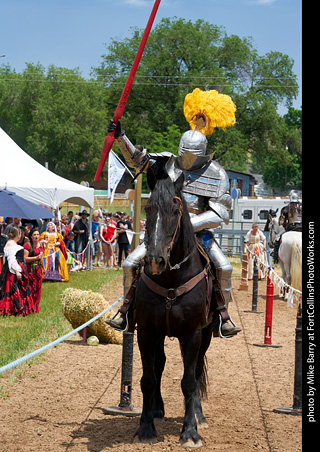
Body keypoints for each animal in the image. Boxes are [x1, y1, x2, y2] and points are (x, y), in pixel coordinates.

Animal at [132, 158, 215, 444]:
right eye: (148, 208)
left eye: (176, 208)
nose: (155, 261)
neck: (171, 280)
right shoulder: (146, 332)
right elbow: (147, 378)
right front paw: (146, 427)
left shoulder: (193, 333)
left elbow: (189, 381)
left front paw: (190, 431)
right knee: (159, 365)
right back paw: (157, 409)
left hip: (206, 334)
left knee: (197, 370)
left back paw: (199, 415)